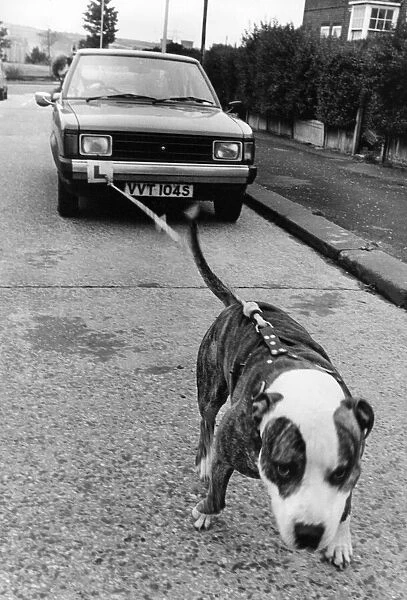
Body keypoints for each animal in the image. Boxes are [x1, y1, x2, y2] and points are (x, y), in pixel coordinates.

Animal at [187, 217, 372, 568]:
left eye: (341, 472)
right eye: (284, 468)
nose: (310, 533)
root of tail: (239, 306)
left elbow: (345, 506)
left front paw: (340, 541)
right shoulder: (229, 448)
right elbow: (217, 493)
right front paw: (205, 510)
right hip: (211, 385)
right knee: (206, 419)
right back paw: (203, 460)